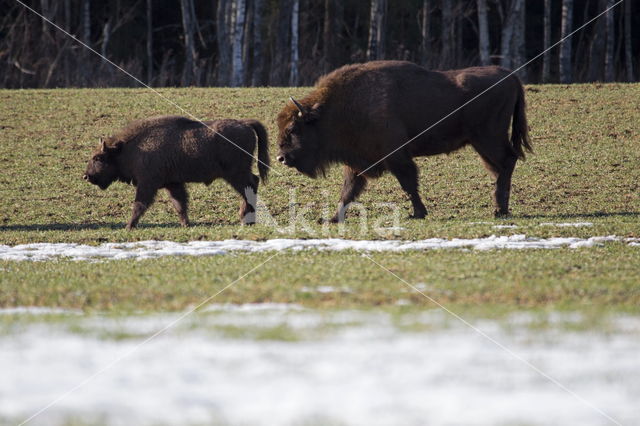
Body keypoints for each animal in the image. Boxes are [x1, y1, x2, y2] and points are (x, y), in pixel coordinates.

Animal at [84, 115, 268, 230]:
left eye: (98, 158)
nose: (86, 176)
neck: (127, 148)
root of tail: (244, 123)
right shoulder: (172, 184)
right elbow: (180, 204)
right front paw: (186, 224)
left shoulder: (147, 184)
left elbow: (139, 205)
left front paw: (128, 226)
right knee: (253, 184)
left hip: (235, 174)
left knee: (250, 185)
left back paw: (245, 220)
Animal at [278, 60, 532, 223]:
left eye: (293, 128)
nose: (281, 157)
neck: (333, 109)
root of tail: (511, 76)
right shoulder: (357, 163)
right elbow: (348, 191)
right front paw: (331, 219)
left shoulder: (396, 156)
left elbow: (408, 183)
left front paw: (418, 213)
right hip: (481, 144)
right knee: (500, 167)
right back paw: (500, 208)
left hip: (488, 138)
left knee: (507, 161)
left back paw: (499, 209)